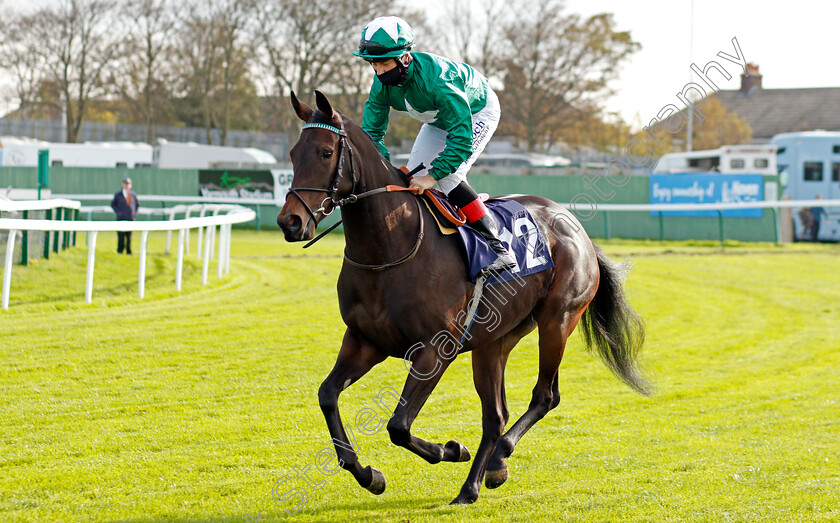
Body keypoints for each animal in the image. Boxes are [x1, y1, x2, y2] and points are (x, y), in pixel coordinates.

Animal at [278, 92, 652, 506]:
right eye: (293, 153)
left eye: (326, 152)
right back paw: (474, 484)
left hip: (557, 321)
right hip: (494, 341)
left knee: (544, 396)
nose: (290, 222)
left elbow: (398, 425)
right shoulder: (364, 341)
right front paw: (369, 475)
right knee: (496, 415)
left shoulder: (434, 350)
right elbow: (328, 396)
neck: (390, 247)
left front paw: (450, 450)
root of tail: (577, 228)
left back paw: (498, 458)